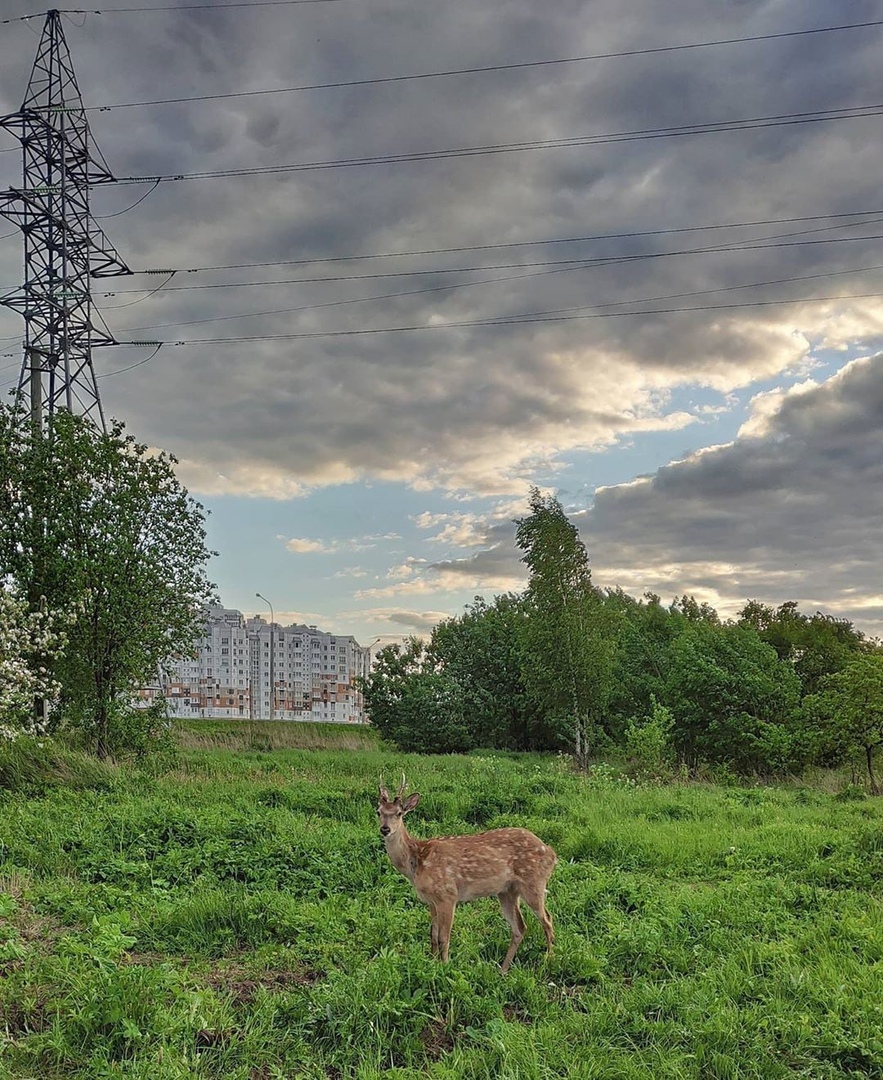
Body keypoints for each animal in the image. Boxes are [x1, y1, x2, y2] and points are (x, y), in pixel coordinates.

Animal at [375, 773, 552, 976]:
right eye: (378, 811)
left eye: (399, 813)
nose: (385, 829)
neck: (417, 862)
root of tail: (552, 854)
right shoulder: (431, 901)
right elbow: (432, 935)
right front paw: (432, 964)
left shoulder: (448, 895)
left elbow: (444, 937)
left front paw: (445, 967)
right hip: (507, 891)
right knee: (520, 928)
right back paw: (503, 969)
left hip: (534, 883)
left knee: (547, 920)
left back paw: (548, 961)